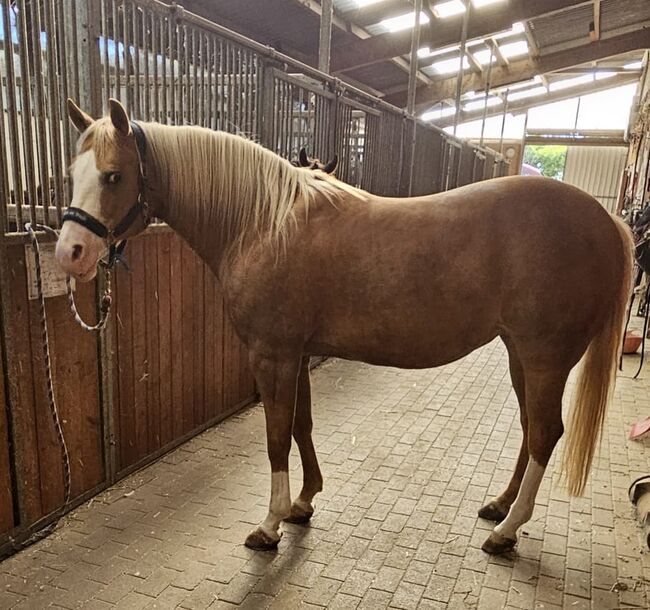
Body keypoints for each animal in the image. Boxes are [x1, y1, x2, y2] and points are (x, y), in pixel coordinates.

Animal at [55, 98, 632, 552]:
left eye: (114, 175)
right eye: (72, 173)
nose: (70, 253)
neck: (263, 223)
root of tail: (605, 222)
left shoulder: (272, 354)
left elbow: (275, 436)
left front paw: (269, 524)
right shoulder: (299, 352)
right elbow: (302, 426)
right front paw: (303, 502)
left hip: (545, 358)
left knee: (545, 433)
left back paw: (507, 530)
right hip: (519, 355)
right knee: (532, 431)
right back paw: (499, 507)